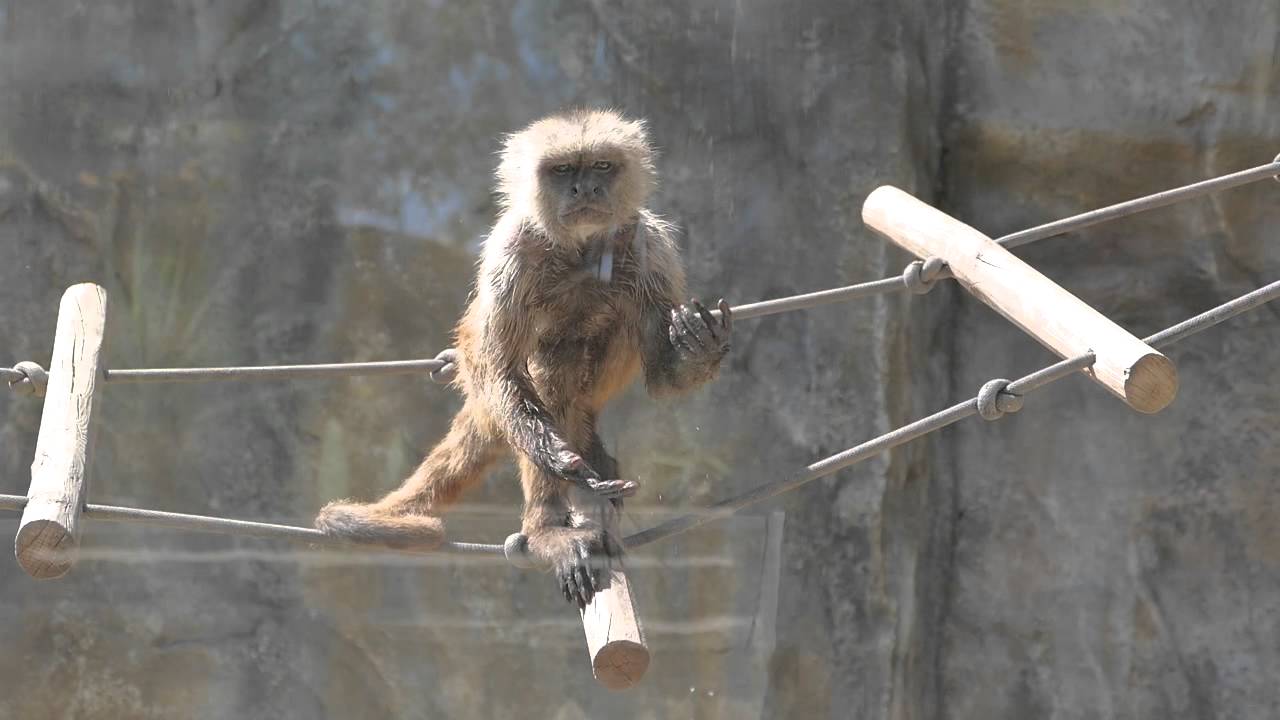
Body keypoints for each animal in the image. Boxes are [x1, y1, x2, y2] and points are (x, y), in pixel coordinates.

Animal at [315, 109, 731, 608]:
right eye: (564, 170)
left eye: (602, 167)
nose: (585, 189)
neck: (581, 252)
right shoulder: (512, 249)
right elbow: (505, 371)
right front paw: (563, 463)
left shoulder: (650, 247)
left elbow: (663, 378)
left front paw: (699, 344)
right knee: (547, 367)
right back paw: (545, 528)